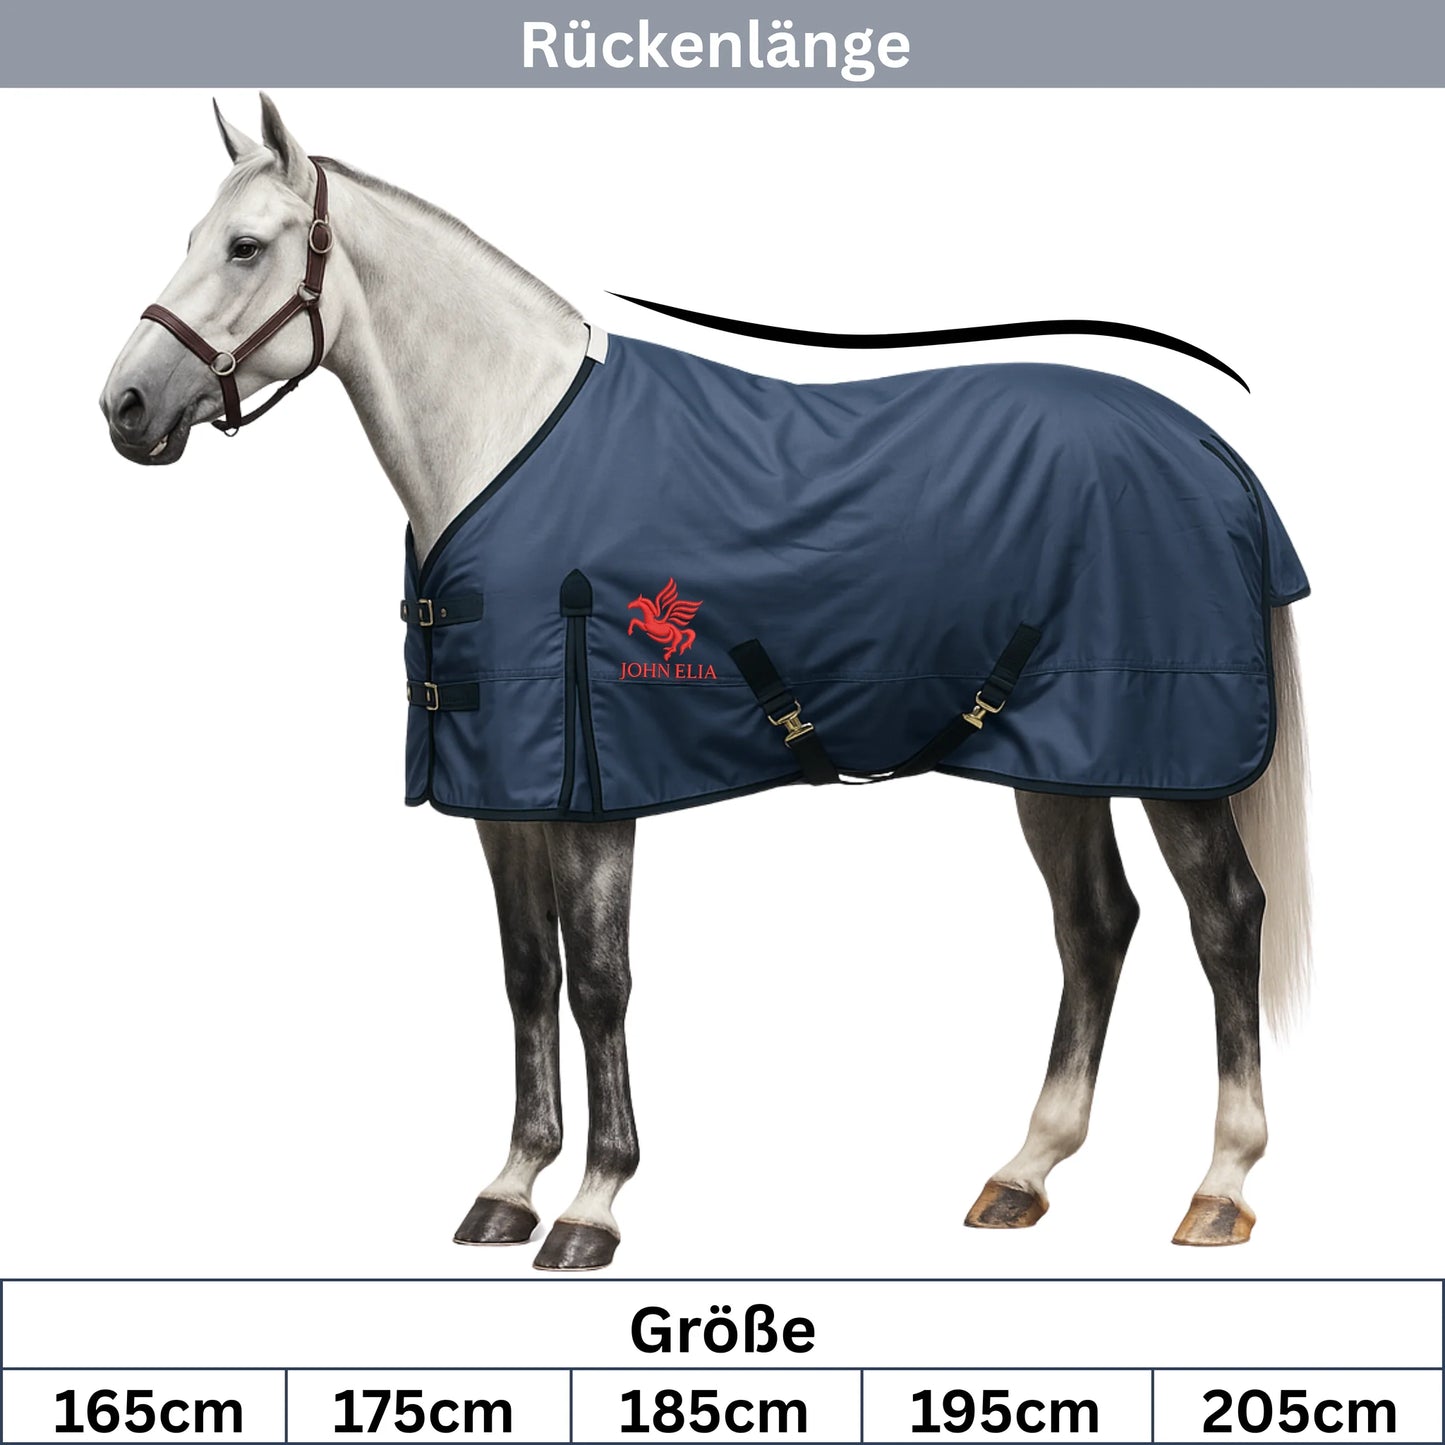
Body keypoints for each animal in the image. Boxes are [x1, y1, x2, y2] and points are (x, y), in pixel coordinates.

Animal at [100, 96, 1310, 1272]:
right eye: (193, 237)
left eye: (245, 246)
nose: (125, 405)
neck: (506, 440)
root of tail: (1212, 455)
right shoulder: (502, 795)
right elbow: (527, 974)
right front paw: (508, 1188)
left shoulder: (595, 788)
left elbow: (599, 980)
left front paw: (593, 1205)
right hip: (1055, 756)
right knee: (1094, 922)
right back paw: (1024, 1171)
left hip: (1171, 757)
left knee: (1223, 918)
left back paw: (1218, 1185)